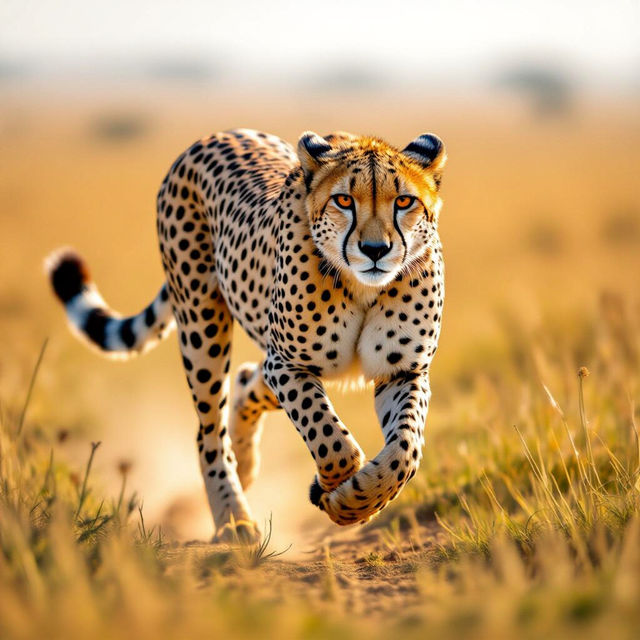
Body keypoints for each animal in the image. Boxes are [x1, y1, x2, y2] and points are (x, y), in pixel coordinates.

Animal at [46, 127, 446, 542]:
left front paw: (355, 501)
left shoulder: (402, 372)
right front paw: (333, 493)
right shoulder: (288, 365)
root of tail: (215, 135)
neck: (362, 286)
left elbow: (404, 451)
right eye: (343, 200)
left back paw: (245, 464)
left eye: (404, 201)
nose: (375, 250)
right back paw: (233, 518)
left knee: (245, 379)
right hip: (202, 325)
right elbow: (333, 443)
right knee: (209, 432)